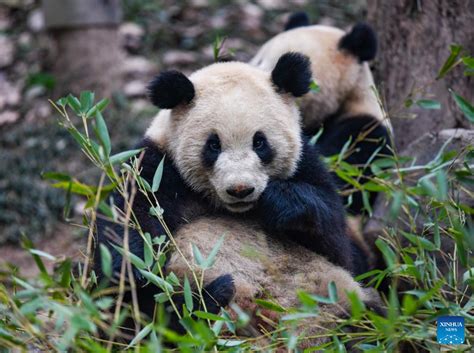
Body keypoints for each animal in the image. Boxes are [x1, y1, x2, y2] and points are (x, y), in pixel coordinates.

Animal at [93, 51, 382, 340]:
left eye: (260, 142)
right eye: (213, 144)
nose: (240, 189)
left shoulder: (306, 164)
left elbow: (341, 246)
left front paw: (279, 202)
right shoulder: (155, 172)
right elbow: (125, 248)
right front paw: (136, 269)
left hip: (336, 298)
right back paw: (211, 297)